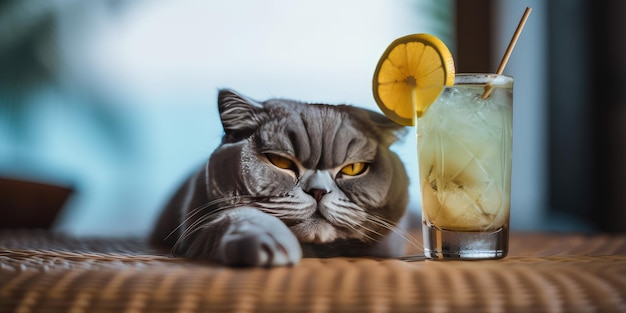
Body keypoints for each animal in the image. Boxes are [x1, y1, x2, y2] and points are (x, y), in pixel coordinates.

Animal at [149, 88, 412, 266]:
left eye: (354, 168)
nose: (318, 191)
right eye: (281, 162)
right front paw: (270, 245)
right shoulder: (195, 232)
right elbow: (239, 216)